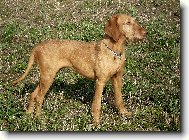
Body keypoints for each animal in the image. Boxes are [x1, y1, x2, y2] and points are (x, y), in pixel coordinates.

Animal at [12, 14, 146, 125]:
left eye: (134, 21)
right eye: (128, 22)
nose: (146, 32)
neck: (114, 51)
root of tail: (37, 47)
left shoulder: (117, 78)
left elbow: (119, 99)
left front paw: (124, 113)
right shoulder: (100, 81)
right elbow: (97, 104)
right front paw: (96, 123)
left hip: (46, 77)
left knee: (33, 94)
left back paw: (28, 114)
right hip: (48, 77)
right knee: (39, 97)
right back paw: (38, 118)